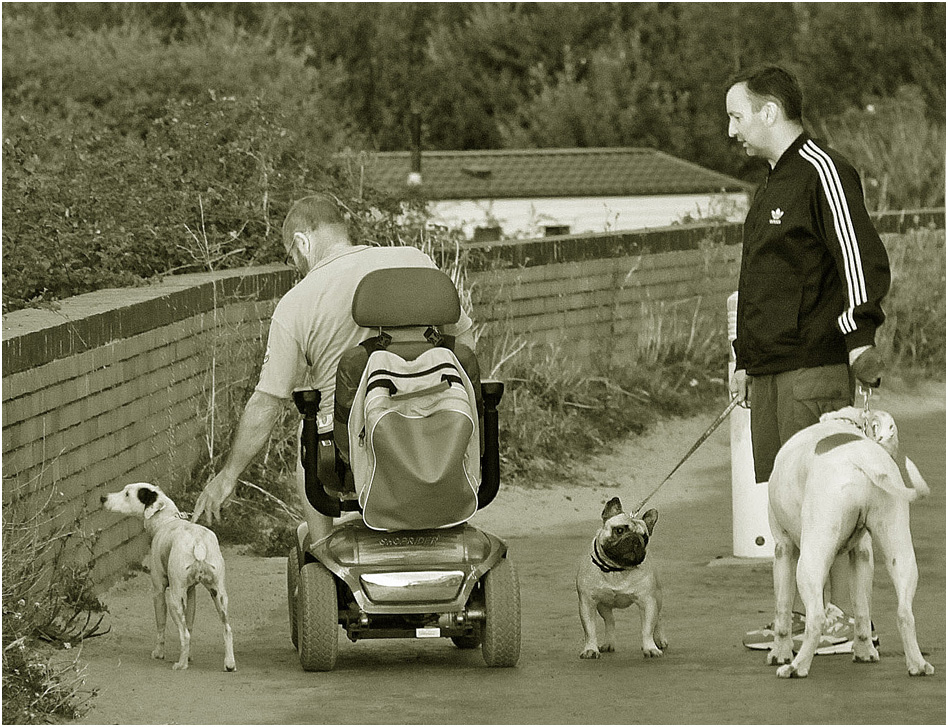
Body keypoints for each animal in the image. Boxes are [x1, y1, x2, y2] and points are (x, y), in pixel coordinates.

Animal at [100, 484, 237, 672]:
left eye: (127, 494)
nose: (103, 498)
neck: (166, 521)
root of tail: (198, 543)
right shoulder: (191, 592)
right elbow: (190, 624)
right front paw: (189, 655)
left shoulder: (158, 591)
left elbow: (161, 626)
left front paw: (159, 653)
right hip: (219, 595)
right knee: (227, 629)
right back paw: (229, 663)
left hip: (174, 598)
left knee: (184, 634)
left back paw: (181, 664)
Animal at [772, 406, 932, 680]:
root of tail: (861, 459)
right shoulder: (862, 555)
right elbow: (861, 607)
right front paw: (865, 650)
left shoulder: (783, 549)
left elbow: (782, 609)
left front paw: (778, 653)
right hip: (899, 549)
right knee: (904, 612)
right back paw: (918, 664)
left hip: (811, 560)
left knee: (816, 617)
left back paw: (796, 666)